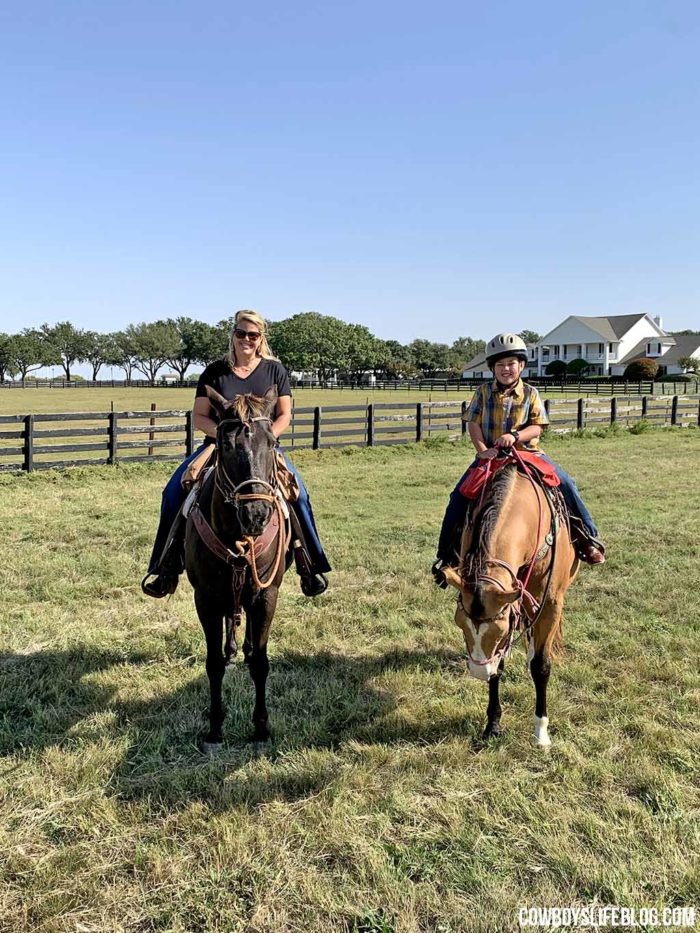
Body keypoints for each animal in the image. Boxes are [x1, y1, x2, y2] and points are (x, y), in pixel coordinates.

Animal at [185, 390, 288, 752]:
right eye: (226, 445)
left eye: (272, 442)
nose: (256, 514)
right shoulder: (205, 598)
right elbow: (213, 663)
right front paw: (215, 727)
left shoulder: (266, 595)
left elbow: (260, 662)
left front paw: (261, 727)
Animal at [442, 448, 580, 748]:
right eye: (460, 624)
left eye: (500, 630)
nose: (479, 673)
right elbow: (500, 663)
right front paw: (492, 725)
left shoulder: (550, 603)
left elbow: (541, 665)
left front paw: (541, 732)